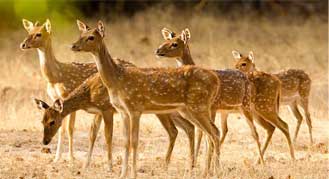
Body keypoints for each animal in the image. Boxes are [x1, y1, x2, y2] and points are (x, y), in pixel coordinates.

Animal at [19, 18, 97, 162]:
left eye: (38, 34)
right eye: (28, 32)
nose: (23, 44)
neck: (56, 76)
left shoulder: (68, 95)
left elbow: (69, 129)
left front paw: (70, 157)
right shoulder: (55, 98)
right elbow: (63, 128)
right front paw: (57, 158)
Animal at [155, 27, 262, 164]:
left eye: (174, 44)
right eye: (166, 40)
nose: (158, 50)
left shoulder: (212, 108)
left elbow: (207, 135)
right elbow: (204, 134)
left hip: (245, 106)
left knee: (254, 132)